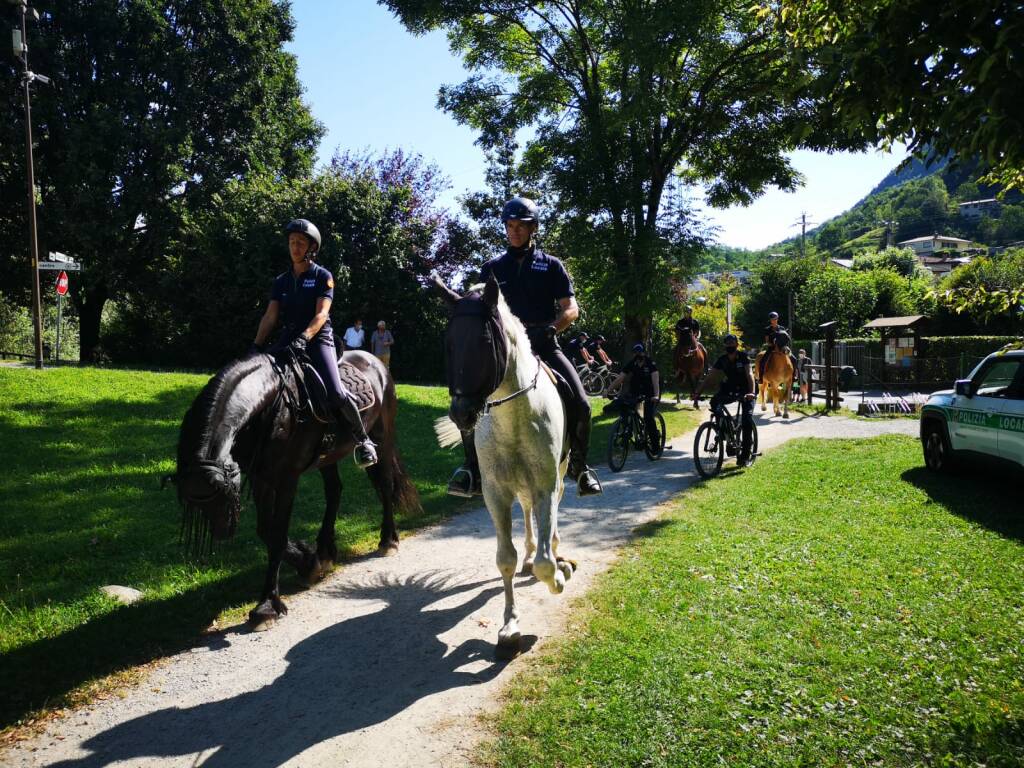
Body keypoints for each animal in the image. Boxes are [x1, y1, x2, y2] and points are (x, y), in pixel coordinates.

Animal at [172, 352, 419, 626]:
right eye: (194, 503)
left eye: (222, 496)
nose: (222, 531)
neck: (269, 407)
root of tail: (374, 361)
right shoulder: (261, 478)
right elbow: (265, 531)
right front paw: (308, 561)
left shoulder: (287, 479)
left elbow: (278, 535)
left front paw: (267, 605)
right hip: (328, 457)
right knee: (334, 490)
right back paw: (325, 550)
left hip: (381, 438)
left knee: (385, 486)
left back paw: (388, 540)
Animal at [432, 276, 577, 651]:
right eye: (449, 343)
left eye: (485, 342)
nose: (461, 414)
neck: (514, 420)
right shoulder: (496, 493)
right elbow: (505, 559)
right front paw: (510, 625)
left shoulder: (545, 485)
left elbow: (545, 563)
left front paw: (558, 576)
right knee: (526, 517)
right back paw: (530, 553)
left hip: (559, 475)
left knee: (551, 518)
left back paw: (559, 555)